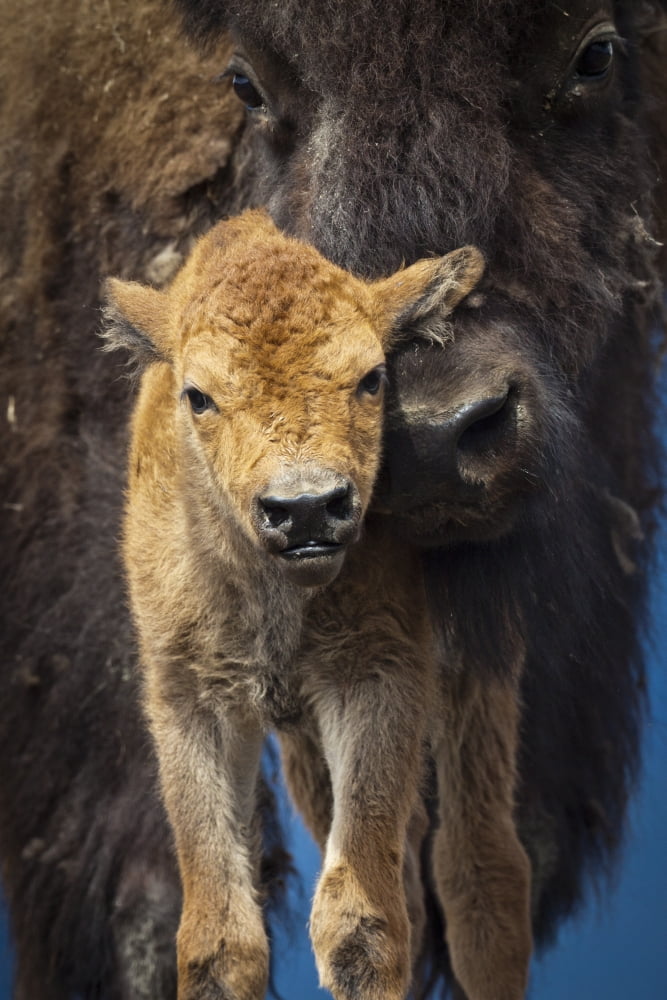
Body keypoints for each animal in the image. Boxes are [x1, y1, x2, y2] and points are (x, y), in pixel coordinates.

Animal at [0, 1, 665, 998]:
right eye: (245, 82)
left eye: (594, 54)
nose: (430, 435)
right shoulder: (165, 683)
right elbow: (186, 920)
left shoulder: (408, 667)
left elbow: (381, 905)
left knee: (475, 873)